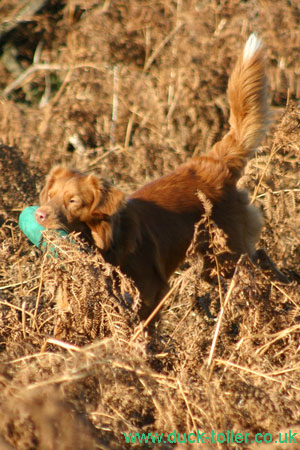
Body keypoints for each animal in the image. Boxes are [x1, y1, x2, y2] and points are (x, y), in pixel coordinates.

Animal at [36, 34, 270, 316]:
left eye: (73, 201)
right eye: (50, 195)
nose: (39, 215)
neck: (108, 244)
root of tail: (213, 162)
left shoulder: (148, 294)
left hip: (226, 257)